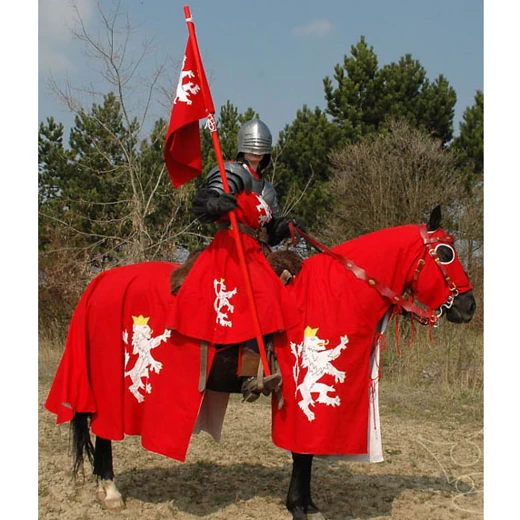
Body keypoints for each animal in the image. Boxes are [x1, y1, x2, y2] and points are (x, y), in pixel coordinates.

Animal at [44, 207, 476, 520]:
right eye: (446, 253)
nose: (469, 307)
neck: (335, 293)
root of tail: (101, 281)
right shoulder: (299, 403)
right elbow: (303, 453)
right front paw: (300, 506)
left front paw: (306, 503)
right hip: (110, 385)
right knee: (104, 432)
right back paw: (110, 490)